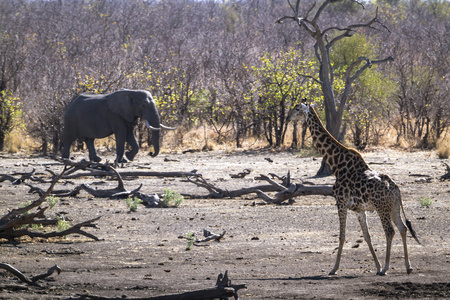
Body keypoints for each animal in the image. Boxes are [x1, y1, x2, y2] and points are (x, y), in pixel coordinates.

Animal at [290, 103, 420, 276]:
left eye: (297, 109)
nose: (289, 117)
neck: (336, 164)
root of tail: (396, 189)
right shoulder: (359, 209)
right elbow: (367, 236)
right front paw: (376, 266)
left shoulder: (340, 203)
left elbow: (341, 236)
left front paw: (334, 268)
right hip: (394, 207)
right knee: (403, 228)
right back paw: (407, 266)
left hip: (382, 208)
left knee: (390, 231)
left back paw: (386, 268)